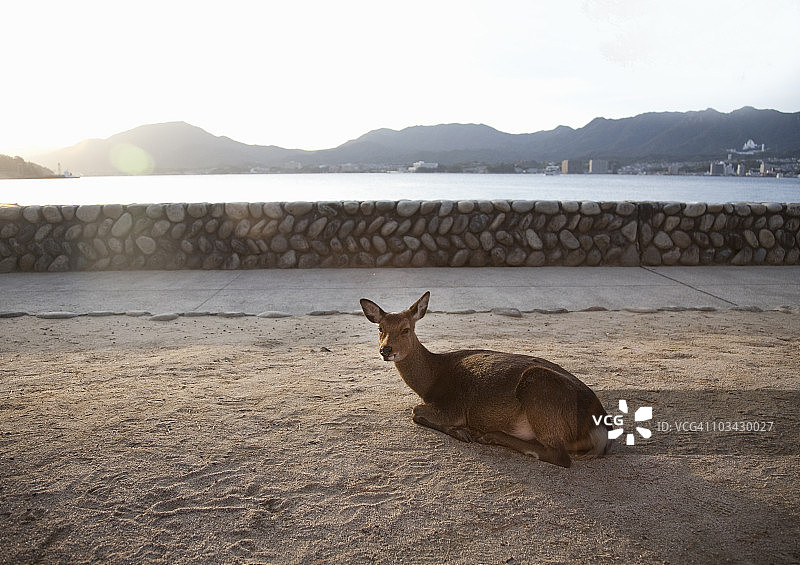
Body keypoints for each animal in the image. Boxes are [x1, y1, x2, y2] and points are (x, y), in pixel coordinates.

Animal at [360, 291, 612, 468]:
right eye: (380, 328)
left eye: (406, 329)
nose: (386, 350)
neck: (431, 382)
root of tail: (598, 423)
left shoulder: (453, 406)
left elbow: (415, 411)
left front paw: (461, 432)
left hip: (539, 387)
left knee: (560, 456)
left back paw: (488, 435)